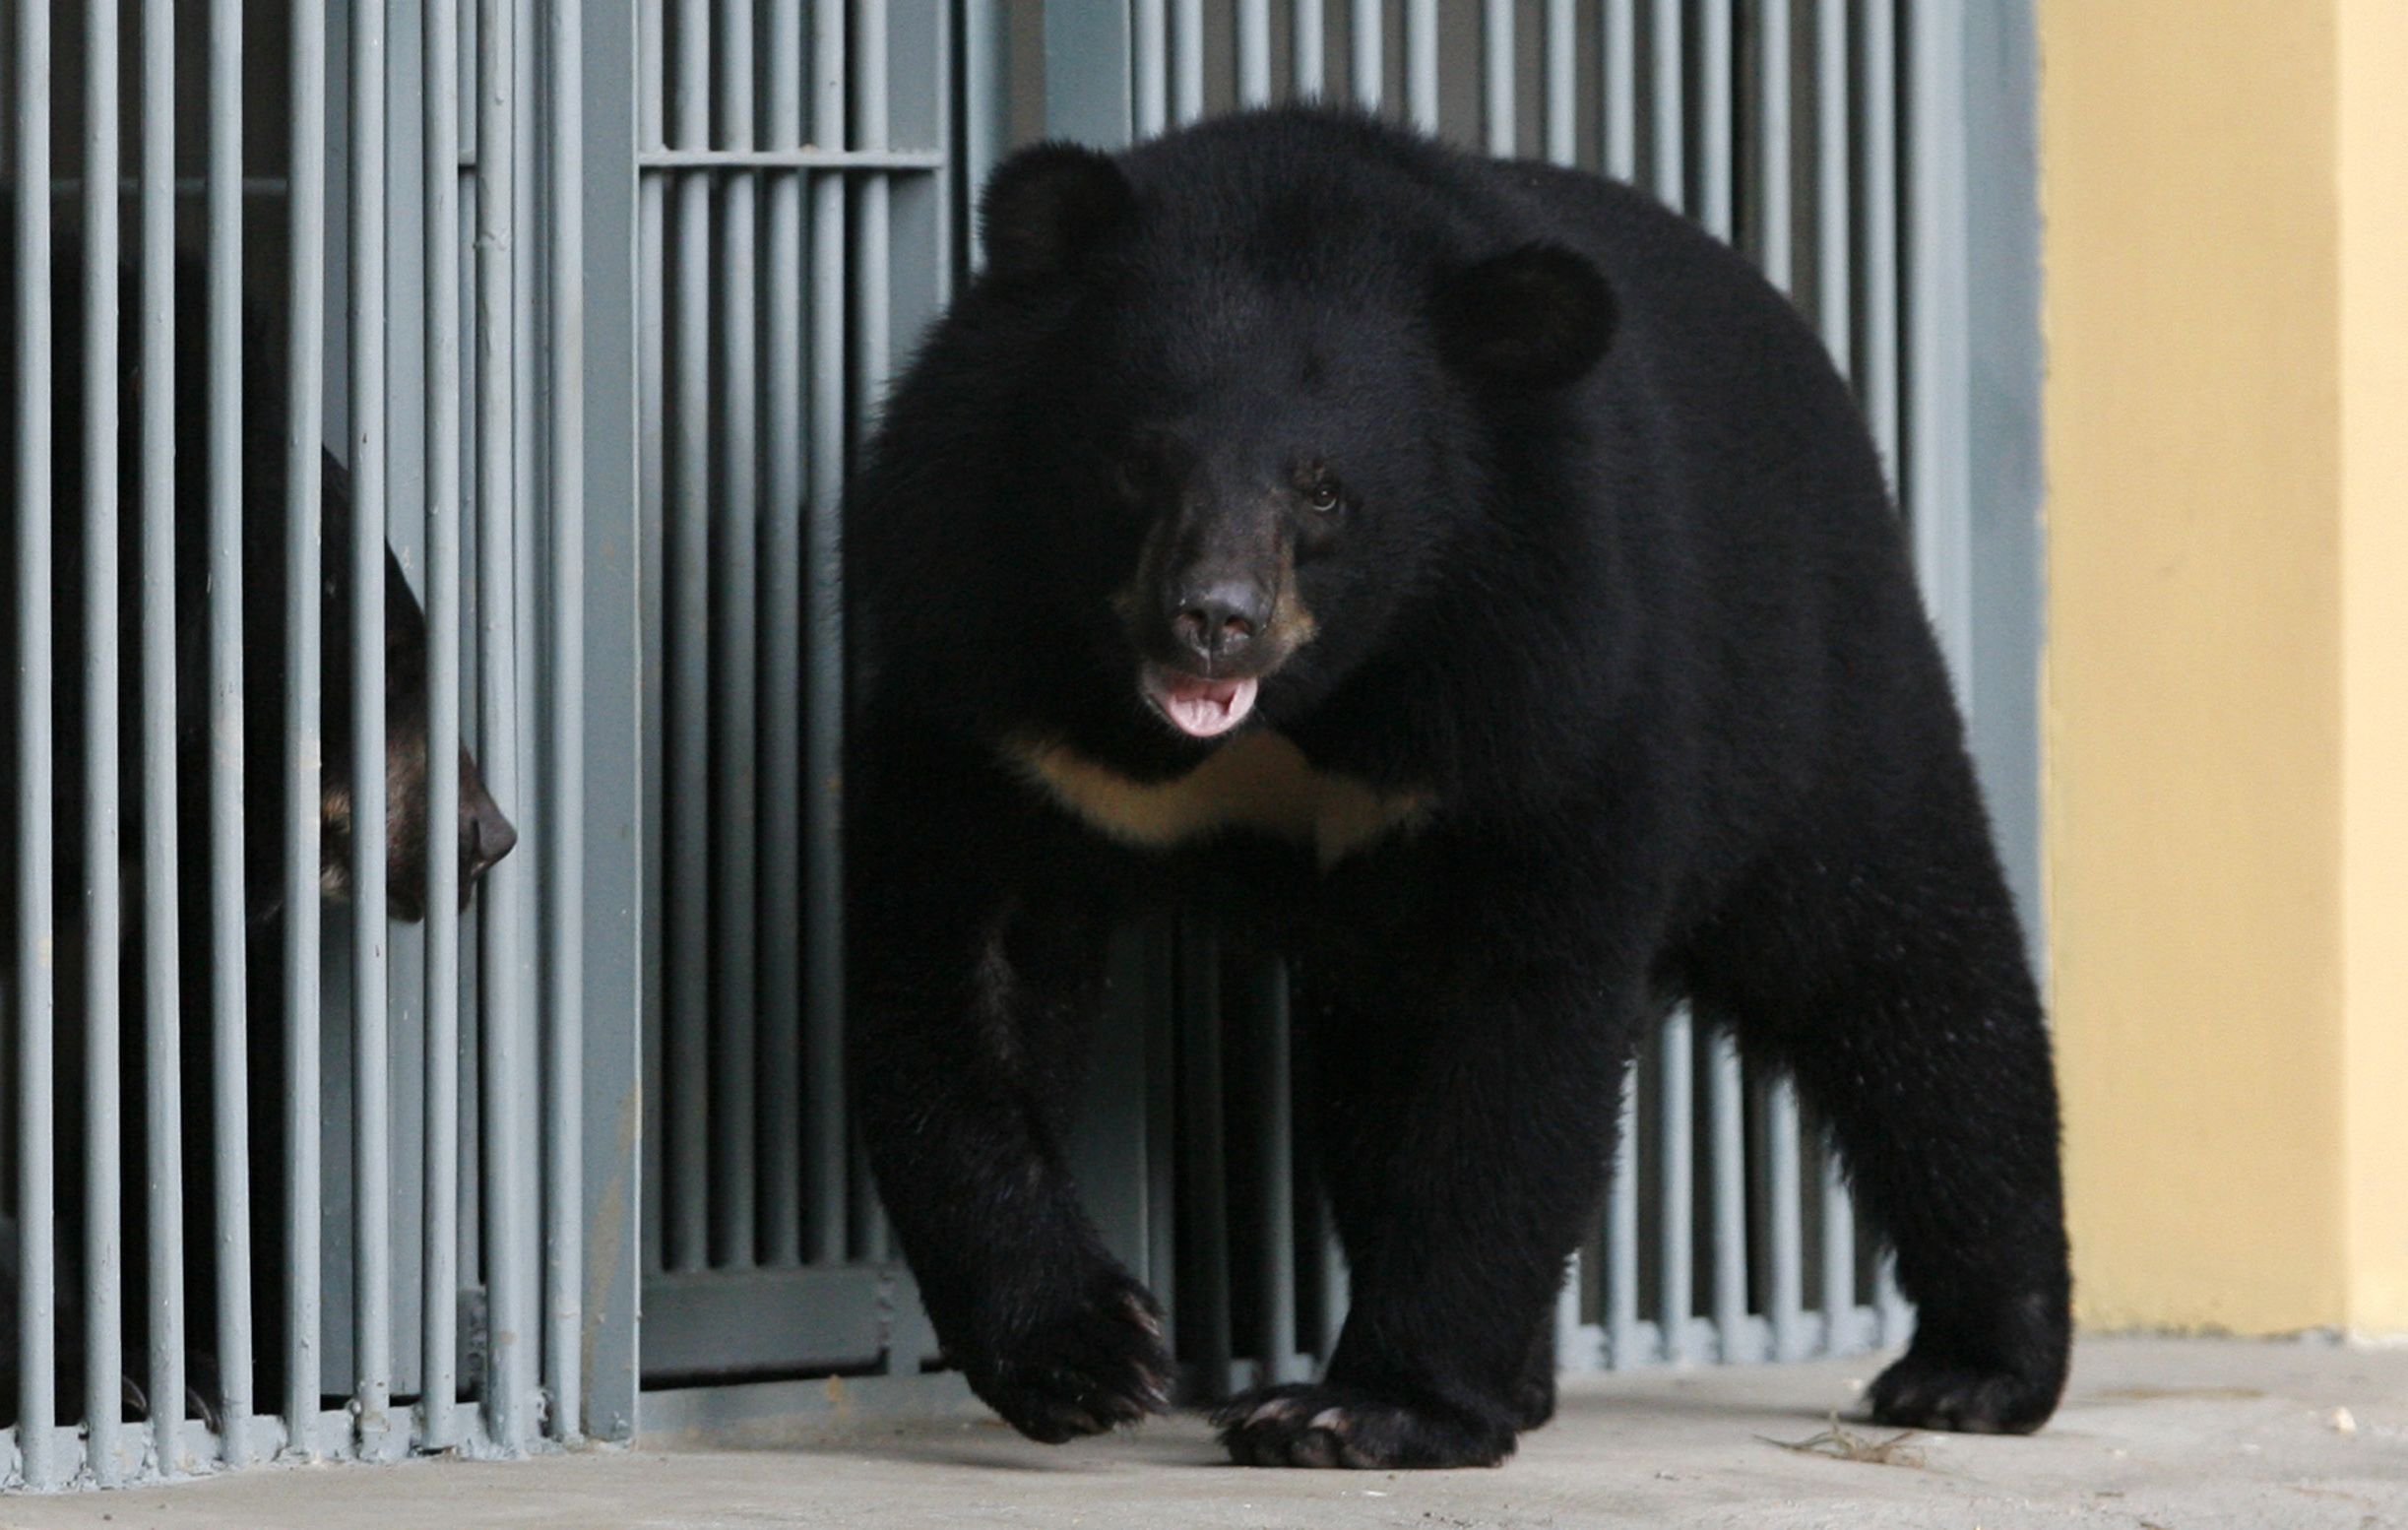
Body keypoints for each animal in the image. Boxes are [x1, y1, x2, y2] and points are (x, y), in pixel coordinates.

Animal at [847, 107, 2070, 1474]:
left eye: (1323, 487)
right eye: (1137, 462)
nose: (1210, 621)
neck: (1309, 702)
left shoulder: (1549, 675)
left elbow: (1521, 1029)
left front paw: (1358, 1410)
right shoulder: (987, 670)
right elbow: (957, 966)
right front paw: (1087, 1355)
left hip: (1812, 683)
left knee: (1905, 979)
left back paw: (1974, 1370)